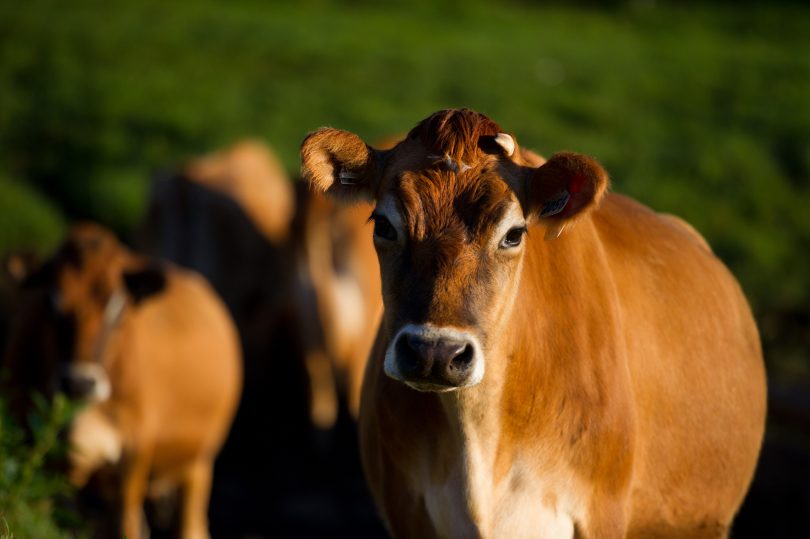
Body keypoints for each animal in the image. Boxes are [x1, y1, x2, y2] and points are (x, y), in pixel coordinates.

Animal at [3, 223, 243, 539]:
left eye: (118, 309)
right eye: (50, 304)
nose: (79, 382)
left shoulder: (136, 447)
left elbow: (125, 524)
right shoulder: (33, 444)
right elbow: (34, 516)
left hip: (198, 461)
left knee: (189, 524)